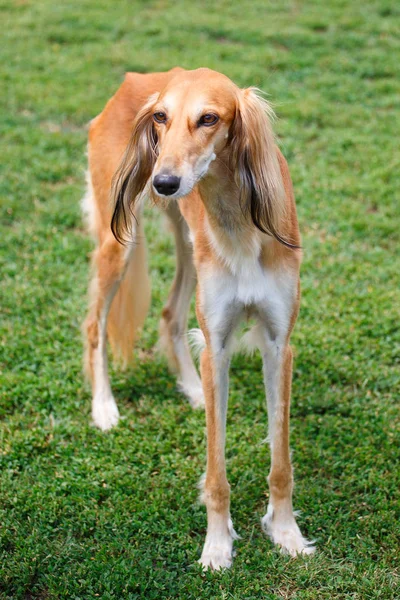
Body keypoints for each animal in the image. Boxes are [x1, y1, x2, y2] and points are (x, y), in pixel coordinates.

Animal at [83, 68, 316, 568]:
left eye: (209, 118)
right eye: (161, 117)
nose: (163, 181)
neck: (241, 223)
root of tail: (135, 78)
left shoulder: (278, 343)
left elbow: (281, 460)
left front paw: (286, 533)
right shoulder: (220, 345)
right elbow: (216, 469)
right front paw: (217, 545)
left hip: (189, 242)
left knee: (170, 314)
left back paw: (191, 389)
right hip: (120, 242)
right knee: (95, 325)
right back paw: (104, 407)